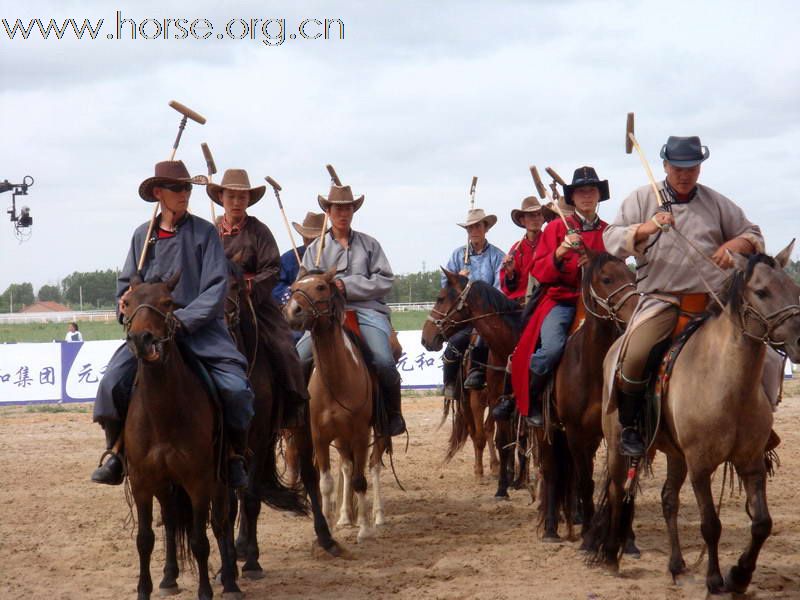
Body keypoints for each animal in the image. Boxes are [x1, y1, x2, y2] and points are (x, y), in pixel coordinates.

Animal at [122, 274, 241, 600]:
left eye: (167, 303)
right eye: (128, 302)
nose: (141, 339)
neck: (163, 415)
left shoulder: (199, 481)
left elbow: (201, 540)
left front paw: (205, 592)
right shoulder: (142, 481)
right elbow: (144, 539)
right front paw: (144, 590)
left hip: (220, 480)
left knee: (221, 522)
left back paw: (230, 581)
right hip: (166, 485)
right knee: (172, 520)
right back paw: (169, 578)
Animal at [223, 260, 340, 576]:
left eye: (235, 286)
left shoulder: (260, 436)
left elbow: (252, 496)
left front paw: (253, 561)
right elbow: (236, 497)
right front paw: (237, 555)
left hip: (300, 431)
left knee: (310, 477)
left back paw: (326, 538)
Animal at [286, 270, 390, 540]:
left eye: (321, 287)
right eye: (294, 287)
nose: (292, 311)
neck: (336, 379)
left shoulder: (361, 434)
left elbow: (360, 480)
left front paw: (364, 529)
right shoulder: (319, 436)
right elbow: (326, 483)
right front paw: (327, 528)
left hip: (379, 431)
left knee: (373, 467)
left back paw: (378, 516)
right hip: (341, 438)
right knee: (346, 467)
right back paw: (344, 516)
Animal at [588, 244, 800, 596]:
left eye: (792, 287)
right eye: (762, 291)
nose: (799, 340)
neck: (728, 383)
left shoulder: (751, 462)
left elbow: (761, 523)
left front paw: (739, 575)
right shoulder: (701, 465)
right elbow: (711, 524)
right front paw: (715, 580)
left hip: (676, 455)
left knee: (668, 500)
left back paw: (677, 566)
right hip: (618, 448)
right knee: (618, 491)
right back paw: (609, 556)